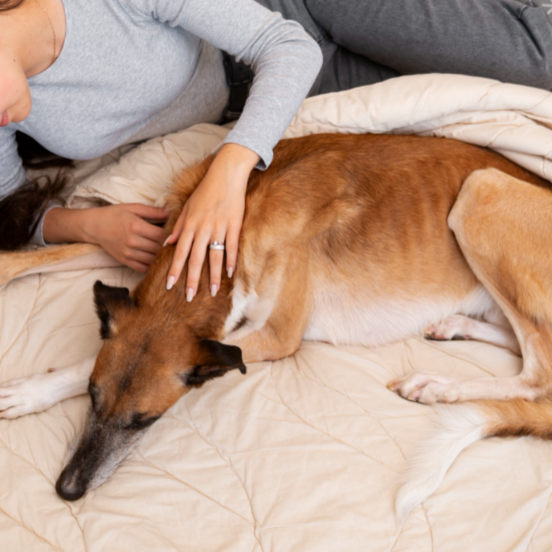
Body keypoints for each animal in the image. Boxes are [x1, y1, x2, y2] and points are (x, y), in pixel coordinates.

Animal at [0, 132, 548, 506]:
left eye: (146, 421)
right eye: (93, 400)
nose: (68, 490)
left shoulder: (274, 336)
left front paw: (30, 389)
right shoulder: (153, 242)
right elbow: (41, 257)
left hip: (479, 191)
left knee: (537, 375)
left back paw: (438, 385)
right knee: (522, 344)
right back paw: (455, 327)